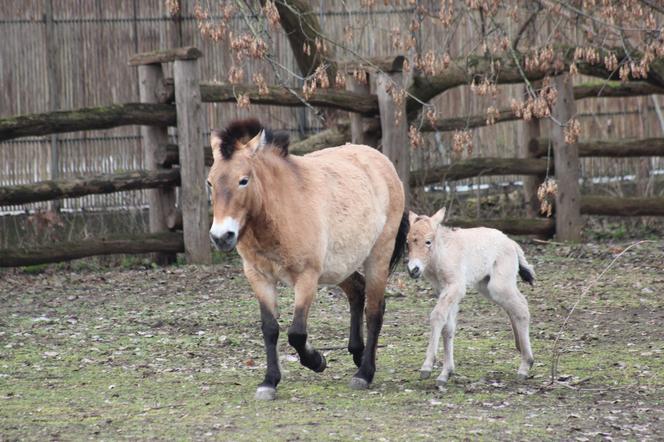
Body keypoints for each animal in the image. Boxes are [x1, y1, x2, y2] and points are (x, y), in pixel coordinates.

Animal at [208, 118, 408, 400]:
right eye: (210, 182)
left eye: (243, 180)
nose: (221, 236)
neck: (279, 209)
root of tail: (382, 161)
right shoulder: (259, 277)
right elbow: (270, 328)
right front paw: (269, 382)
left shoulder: (307, 277)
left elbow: (297, 333)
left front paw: (317, 361)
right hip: (340, 266)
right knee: (357, 291)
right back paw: (357, 353)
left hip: (377, 257)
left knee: (374, 311)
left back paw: (364, 373)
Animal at [404, 209, 536, 386]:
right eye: (407, 242)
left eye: (428, 241)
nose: (414, 270)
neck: (442, 253)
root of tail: (511, 242)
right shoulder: (444, 290)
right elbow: (448, 327)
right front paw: (445, 373)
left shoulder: (456, 287)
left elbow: (437, 316)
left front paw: (427, 367)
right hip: (485, 286)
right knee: (515, 307)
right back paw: (521, 350)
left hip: (499, 286)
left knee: (521, 308)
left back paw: (525, 366)